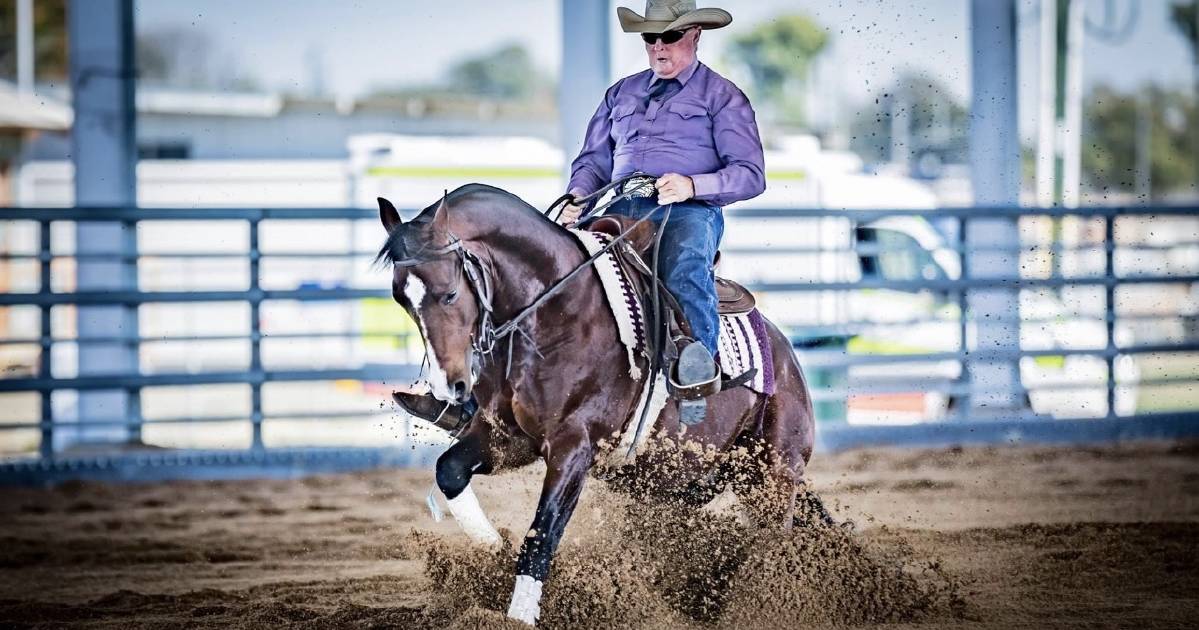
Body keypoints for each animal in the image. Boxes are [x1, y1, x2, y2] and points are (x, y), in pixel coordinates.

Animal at [374, 182, 824, 624]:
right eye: (401, 299)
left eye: (449, 293)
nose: (450, 386)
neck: (557, 310)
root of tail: (786, 357)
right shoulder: (506, 437)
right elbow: (449, 470)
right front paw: (492, 551)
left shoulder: (575, 446)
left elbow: (542, 533)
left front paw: (520, 614)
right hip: (681, 480)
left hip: (773, 473)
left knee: (774, 539)